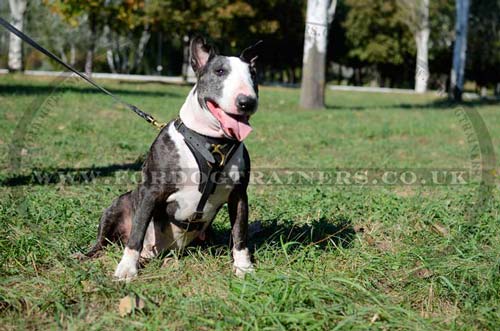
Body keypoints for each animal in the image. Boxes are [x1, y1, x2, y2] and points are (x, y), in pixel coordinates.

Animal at [83, 36, 260, 280]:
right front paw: (127, 269)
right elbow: (137, 232)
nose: (247, 102)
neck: (212, 142)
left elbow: (240, 233)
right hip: (119, 204)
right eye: (220, 71)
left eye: (253, 74)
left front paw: (244, 267)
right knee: (105, 240)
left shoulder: (239, 195)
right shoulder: (151, 192)